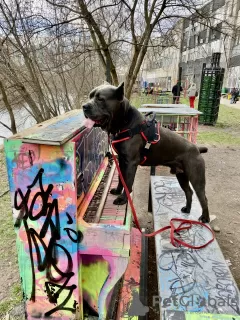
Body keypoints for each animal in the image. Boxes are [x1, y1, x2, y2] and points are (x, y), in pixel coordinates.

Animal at [83, 82, 210, 222]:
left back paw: (205, 218)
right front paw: (117, 191)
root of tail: (197, 149)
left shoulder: (131, 163)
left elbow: (128, 182)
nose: (84, 106)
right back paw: (187, 209)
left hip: (196, 178)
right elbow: (121, 179)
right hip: (181, 175)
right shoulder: (122, 160)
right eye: (90, 96)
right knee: (189, 192)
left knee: (203, 197)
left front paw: (122, 199)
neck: (125, 121)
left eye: (100, 99)